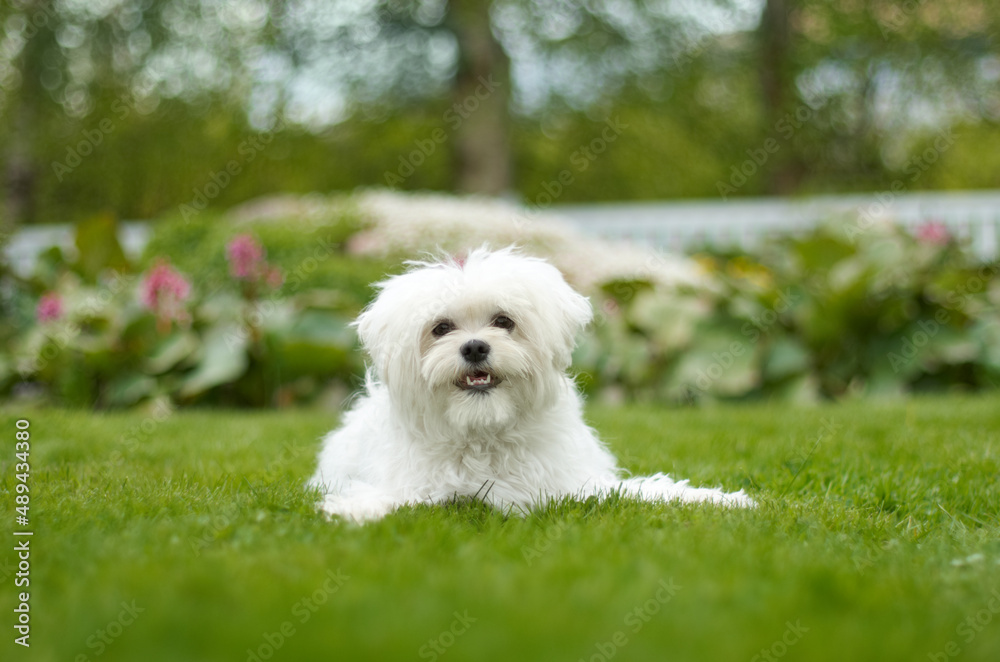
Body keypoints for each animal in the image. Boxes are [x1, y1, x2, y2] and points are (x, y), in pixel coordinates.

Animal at [308, 249, 752, 524]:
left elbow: (644, 490)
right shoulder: (426, 485)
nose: (474, 347)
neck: (484, 430)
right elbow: (397, 496)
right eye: (441, 328)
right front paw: (354, 510)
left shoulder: (572, 484)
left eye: (503, 321)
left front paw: (722, 499)